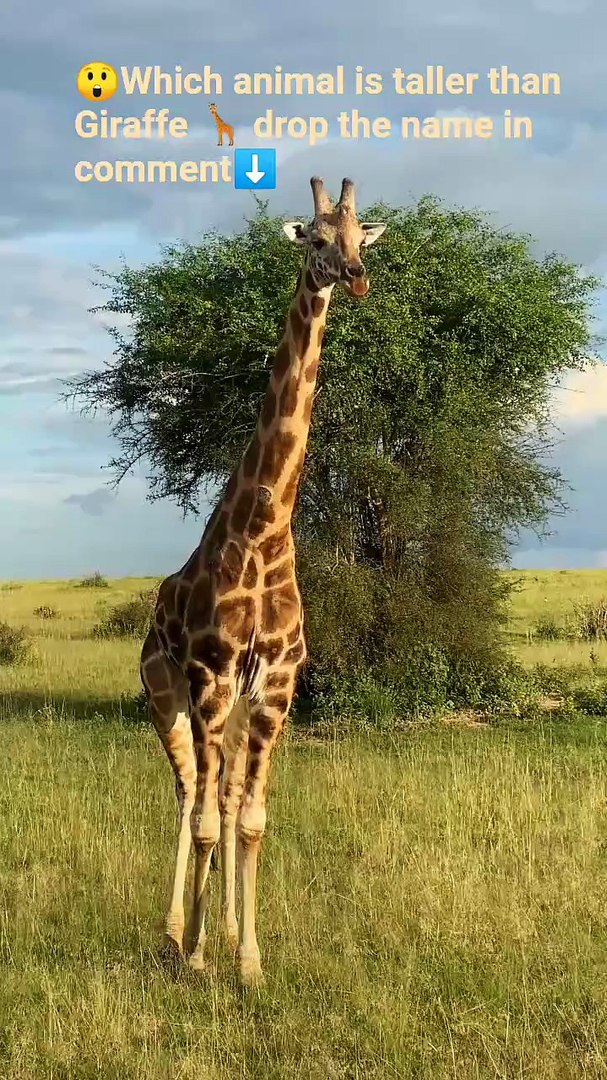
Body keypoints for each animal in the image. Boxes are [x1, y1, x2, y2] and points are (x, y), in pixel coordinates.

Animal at [140, 176, 386, 986]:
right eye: (315, 237)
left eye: (360, 237)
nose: (355, 276)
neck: (263, 529)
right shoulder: (211, 681)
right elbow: (208, 821)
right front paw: (196, 955)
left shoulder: (274, 689)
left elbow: (249, 821)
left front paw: (246, 958)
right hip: (167, 694)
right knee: (188, 795)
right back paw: (174, 931)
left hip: (238, 709)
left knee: (218, 796)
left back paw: (212, 931)